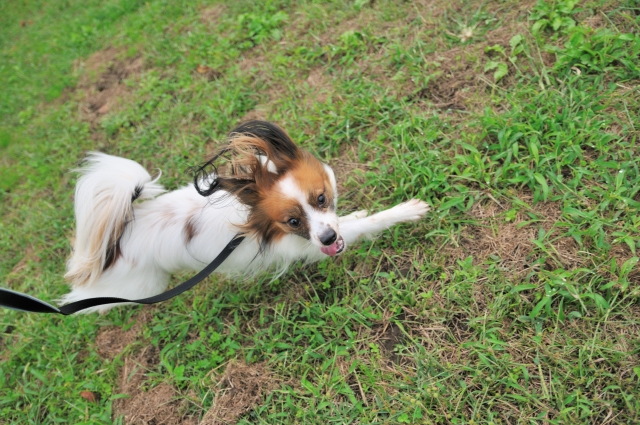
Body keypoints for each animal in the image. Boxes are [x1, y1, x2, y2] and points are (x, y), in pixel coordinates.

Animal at [61, 121, 429, 313]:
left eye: (322, 198)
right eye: (292, 222)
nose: (327, 239)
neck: (256, 222)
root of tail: (115, 239)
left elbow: (349, 221)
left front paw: (357, 212)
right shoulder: (305, 247)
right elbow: (366, 225)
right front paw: (406, 211)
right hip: (143, 285)